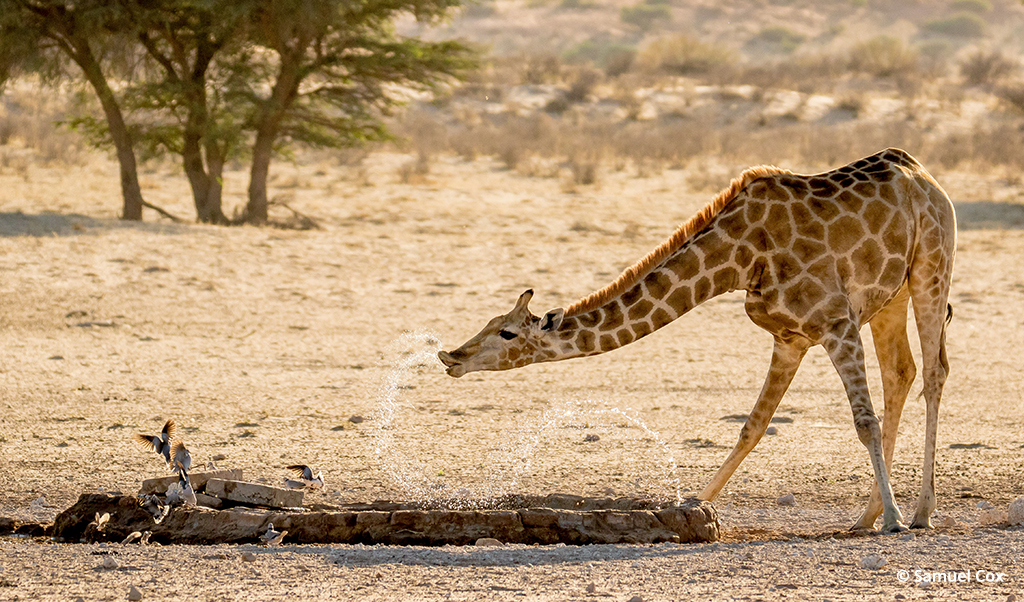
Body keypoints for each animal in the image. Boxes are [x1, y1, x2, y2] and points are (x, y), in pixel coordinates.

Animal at [436, 148, 954, 532]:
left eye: (505, 332)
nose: (450, 356)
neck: (741, 258)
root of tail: (921, 173)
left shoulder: (835, 324)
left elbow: (862, 421)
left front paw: (895, 519)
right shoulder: (790, 337)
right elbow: (752, 426)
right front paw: (693, 506)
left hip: (931, 269)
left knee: (933, 373)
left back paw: (918, 513)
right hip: (890, 298)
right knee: (901, 373)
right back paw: (866, 517)